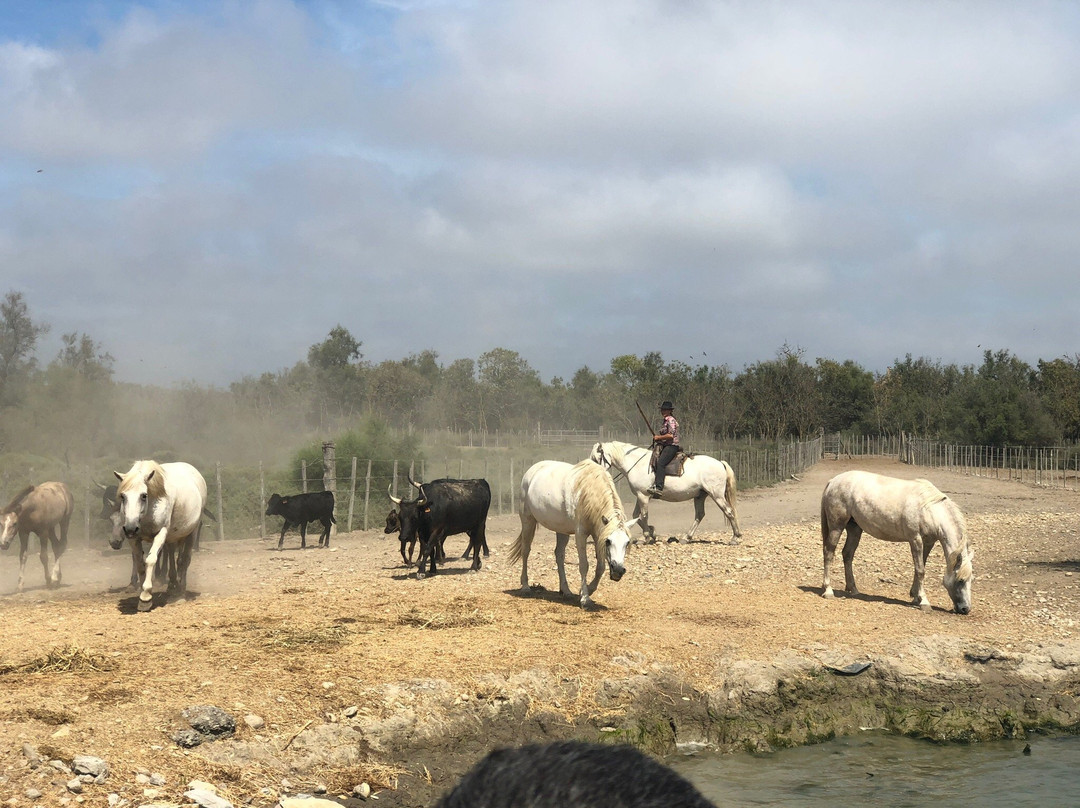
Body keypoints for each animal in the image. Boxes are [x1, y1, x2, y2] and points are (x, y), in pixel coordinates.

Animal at [114, 460, 206, 613]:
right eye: (123, 496)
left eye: (143, 495)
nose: (130, 528)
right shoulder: (134, 538)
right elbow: (140, 563)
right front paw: (143, 594)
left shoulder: (161, 533)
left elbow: (151, 560)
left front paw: (146, 597)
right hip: (172, 537)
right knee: (173, 557)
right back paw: (172, 587)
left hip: (191, 533)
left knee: (184, 560)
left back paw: (180, 593)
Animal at [509, 460, 635, 604]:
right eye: (608, 541)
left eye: (627, 543)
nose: (618, 570)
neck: (588, 493)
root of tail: (532, 471)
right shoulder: (581, 534)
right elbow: (584, 565)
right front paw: (585, 597)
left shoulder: (597, 535)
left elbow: (600, 567)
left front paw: (588, 590)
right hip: (528, 521)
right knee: (525, 551)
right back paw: (525, 586)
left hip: (561, 530)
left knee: (559, 555)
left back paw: (566, 591)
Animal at [591, 438, 743, 546]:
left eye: (596, 458)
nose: (594, 473)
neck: (636, 464)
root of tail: (720, 463)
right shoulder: (641, 496)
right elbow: (636, 516)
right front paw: (652, 533)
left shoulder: (643, 496)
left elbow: (643, 516)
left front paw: (646, 537)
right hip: (700, 496)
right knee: (699, 515)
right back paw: (686, 538)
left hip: (716, 495)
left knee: (729, 512)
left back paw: (735, 538)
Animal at [820, 466, 976, 613]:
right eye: (961, 580)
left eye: (970, 580)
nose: (965, 609)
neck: (928, 509)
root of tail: (832, 481)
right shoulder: (915, 539)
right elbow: (920, 570)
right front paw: (924, 602)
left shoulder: (928, 542)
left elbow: (920, 567)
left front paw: (915, 597)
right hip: (837, 526)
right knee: (829, 553)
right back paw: (828, 590)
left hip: (854, 529)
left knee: (847, 554)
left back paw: (853, 589)